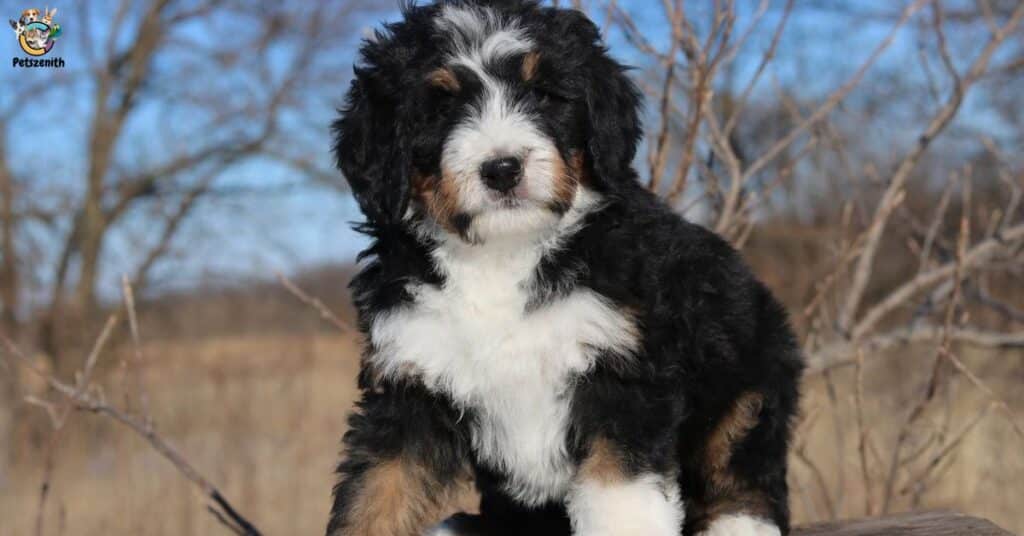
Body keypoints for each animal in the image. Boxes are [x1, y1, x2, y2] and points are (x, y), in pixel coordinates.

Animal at [325, 1, 798, 536]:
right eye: (440, 107)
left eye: (544, 96)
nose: (502, 168)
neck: (502, 253)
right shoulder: (409, 380)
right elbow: (376, 493)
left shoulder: (623, 374)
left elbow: (621, 498)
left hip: (749, 368)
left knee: (742, 469)